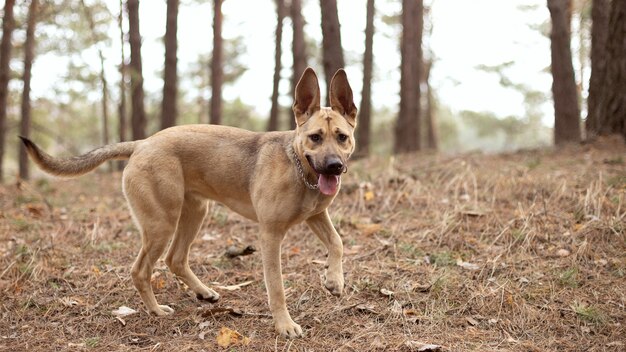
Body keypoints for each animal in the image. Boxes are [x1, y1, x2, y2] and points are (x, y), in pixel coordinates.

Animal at [19, 66, 356, 338]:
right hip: (161, 223)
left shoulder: (317, 216)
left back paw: (204, 293)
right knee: (141, 270)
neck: (300, 169)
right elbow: (277, 287)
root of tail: (142, 143)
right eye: (315, 137)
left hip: (194, 212)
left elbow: (338, 242)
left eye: (342, 137)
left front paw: (334, 281)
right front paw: (284, 325)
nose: (334, 166)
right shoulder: (270, 235)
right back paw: (157, 310)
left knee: (175, 259)